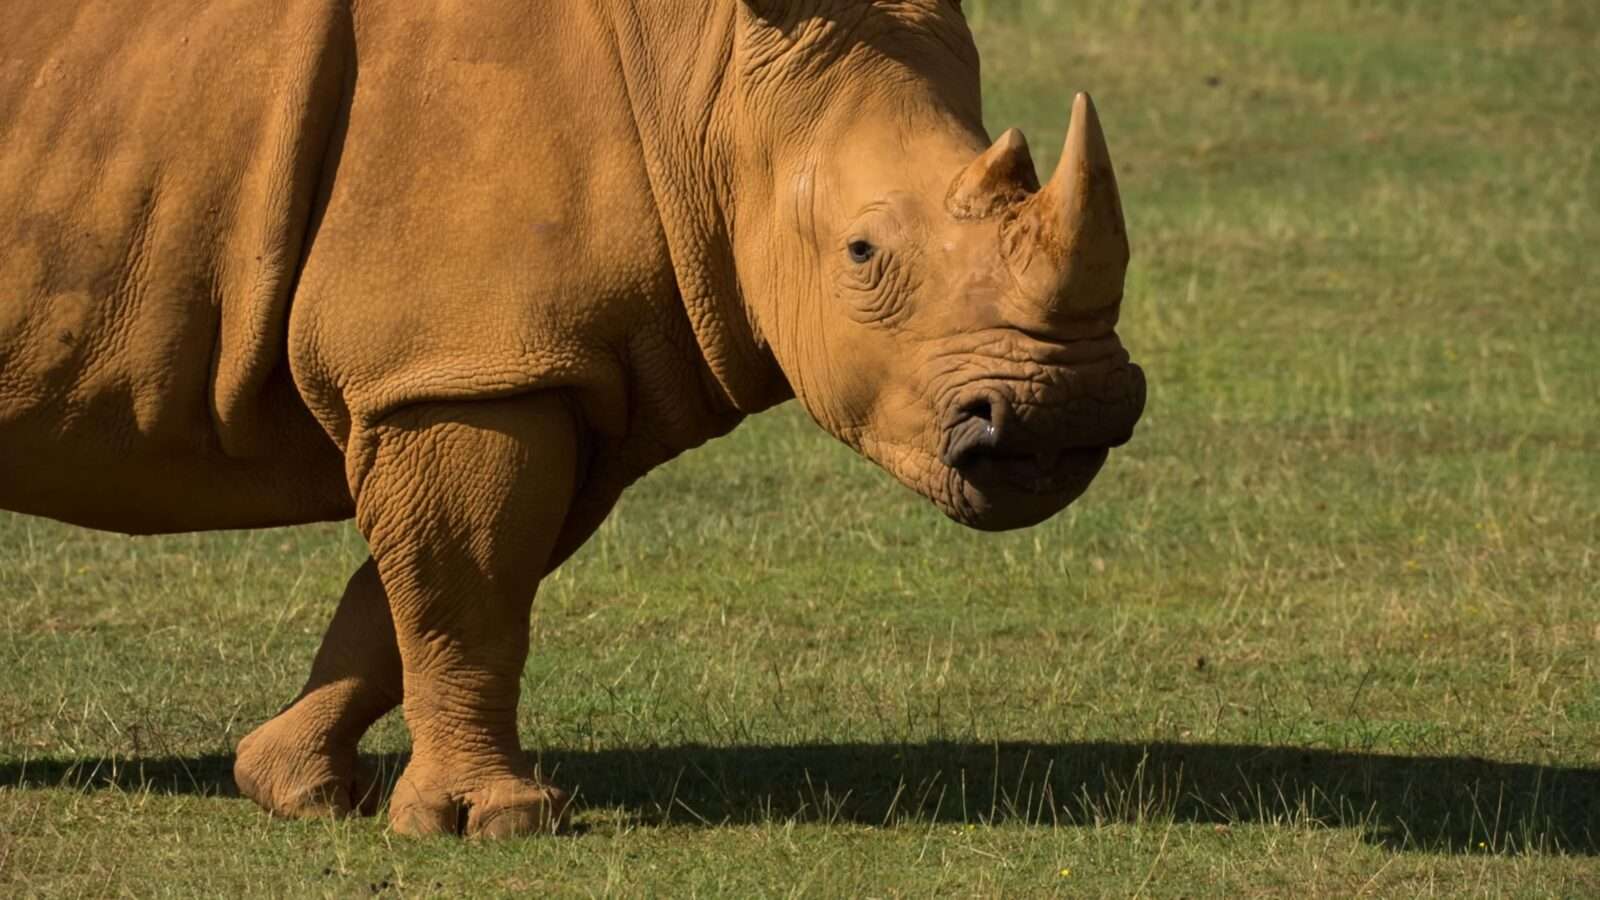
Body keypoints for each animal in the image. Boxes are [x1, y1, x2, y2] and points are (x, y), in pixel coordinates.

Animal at [3, 0, 1152, 832]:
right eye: (864, 254)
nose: (1064, 416)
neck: (703, 85)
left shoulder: (536, 372)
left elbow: (425, 591)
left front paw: (297, 788)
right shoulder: (463, 368)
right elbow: (463, 590)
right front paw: (496, 823)